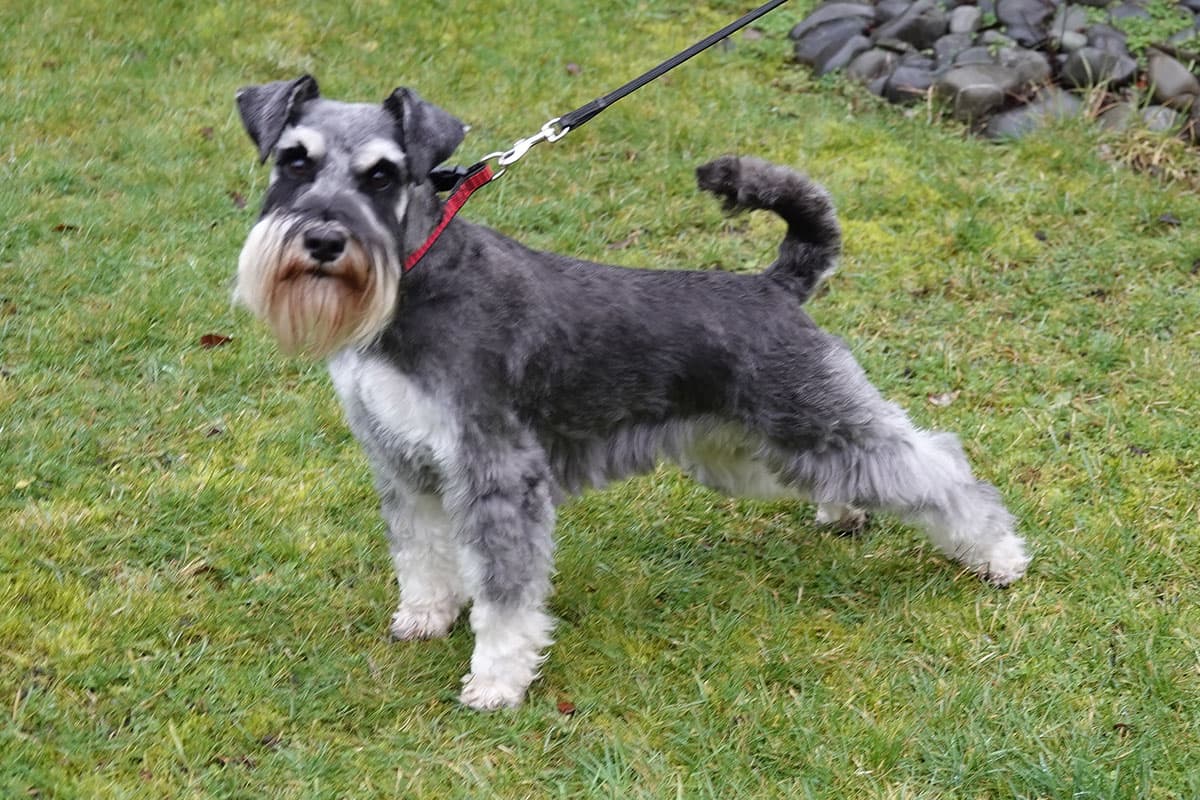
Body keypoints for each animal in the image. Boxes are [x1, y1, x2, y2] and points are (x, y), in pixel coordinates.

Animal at [233, 75, 1030, 710]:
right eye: (295, 159)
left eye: (382, 174)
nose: (324, 240)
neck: (415, 279)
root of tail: (775, 285)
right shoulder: (404, 464)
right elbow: (421, 554)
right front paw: (426, 617)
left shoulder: (498, 473)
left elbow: (504, 595)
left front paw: (495, 682)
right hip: (750, 446)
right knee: (853, 469)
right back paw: (846, 512)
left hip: (811, 412)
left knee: (933, 466)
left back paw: (999, 555)